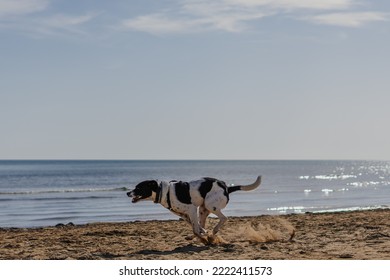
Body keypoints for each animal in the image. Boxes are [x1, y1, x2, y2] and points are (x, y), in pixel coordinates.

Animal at [126, 176, 260, 242]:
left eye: (138, 188)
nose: (127, 193)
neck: (163, 191)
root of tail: (226, 187)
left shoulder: (191, 209)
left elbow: (196, 229)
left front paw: (204, 238)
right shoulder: (185, 215)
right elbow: (196, 226)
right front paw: (203, 234)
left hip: (210, 205)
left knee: (224, 218)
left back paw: (213, 232)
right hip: (203, 210)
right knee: (203, 222)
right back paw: (199, 237)